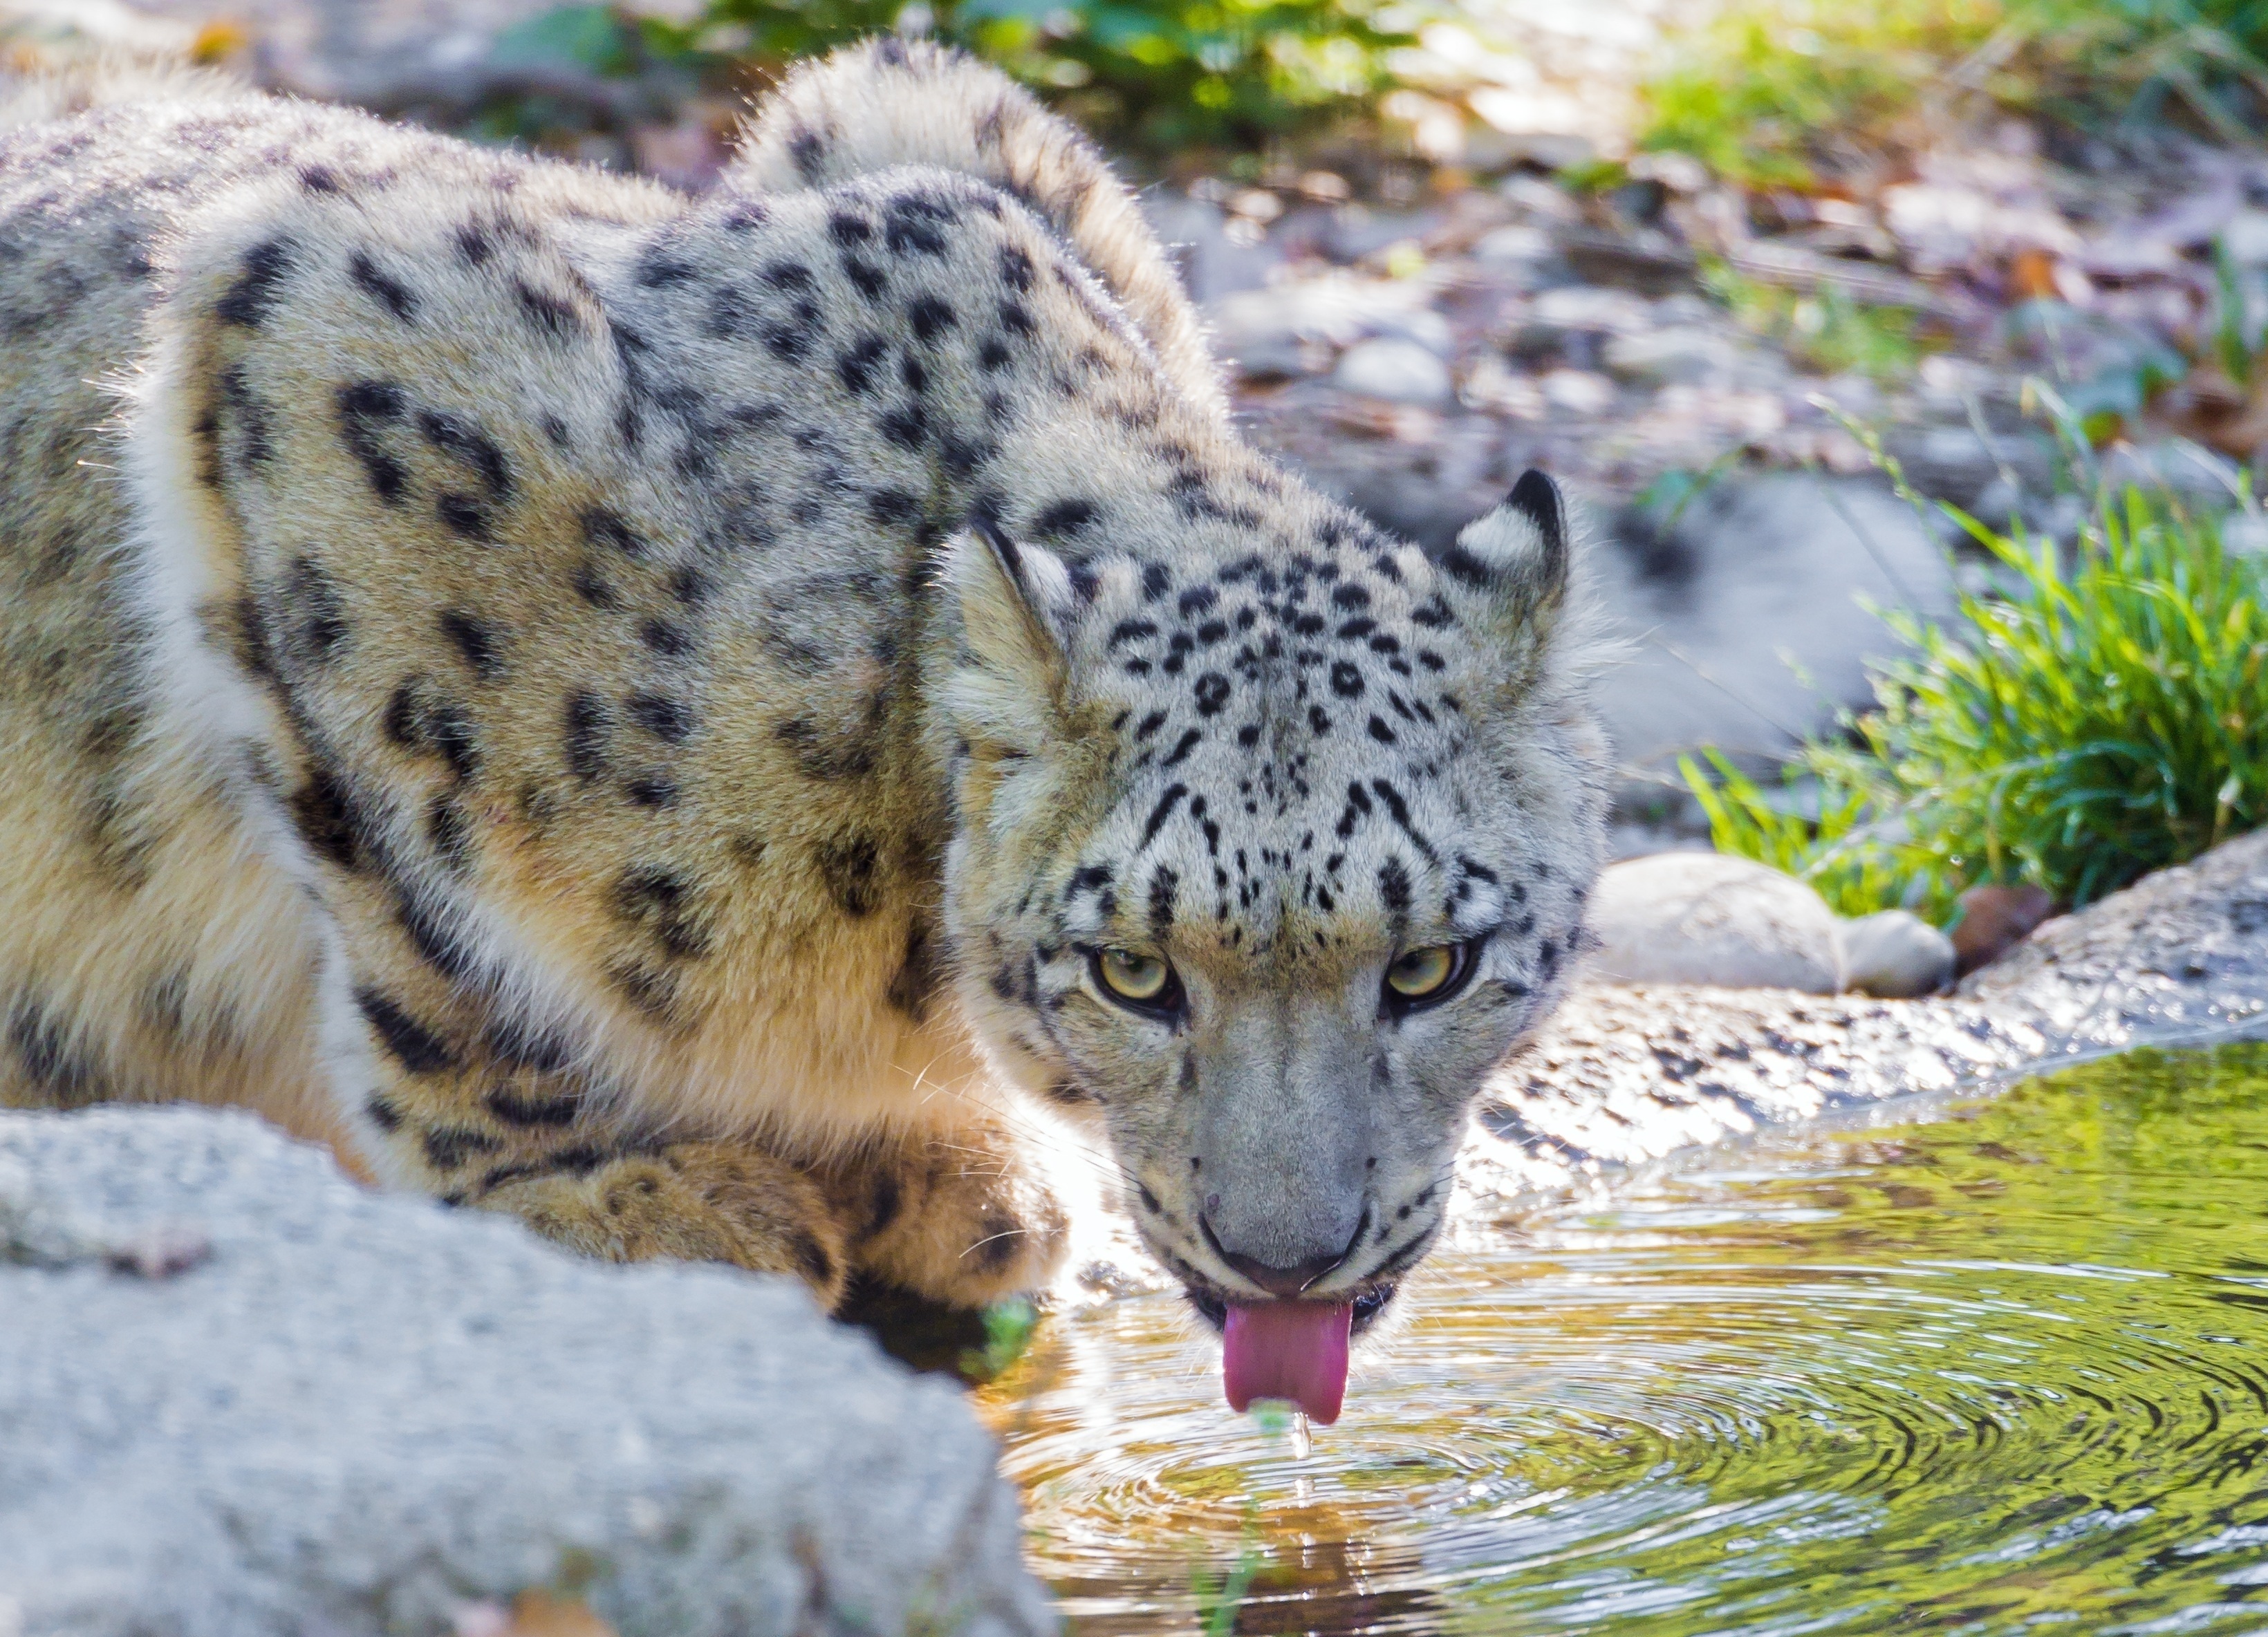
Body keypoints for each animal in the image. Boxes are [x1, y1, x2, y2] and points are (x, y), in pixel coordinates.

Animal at [0, 41, 1615, 1378]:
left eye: (1433, 965)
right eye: (1133, 972)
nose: (1288, 1258)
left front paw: (954, 1168)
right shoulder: (314, 329)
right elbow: (425, 923)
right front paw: (598, 1191)